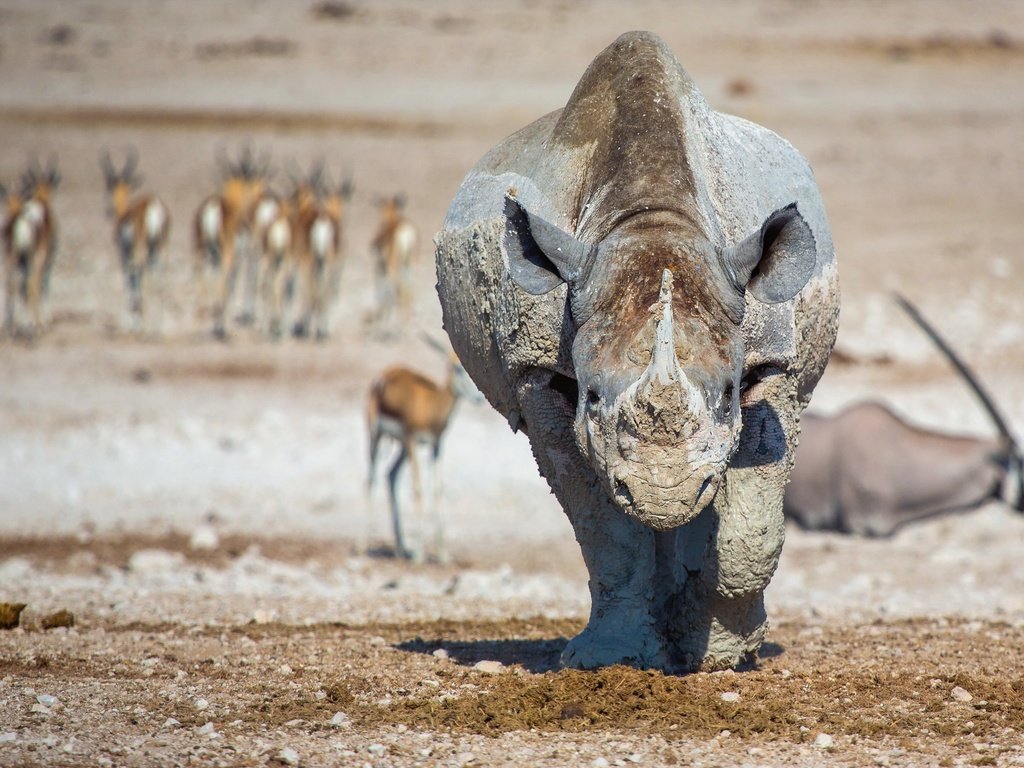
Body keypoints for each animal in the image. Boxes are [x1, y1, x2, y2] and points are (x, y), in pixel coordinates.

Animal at [1, 157, 58, 337]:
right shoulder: (47, 257)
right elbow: (44, 283)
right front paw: (45, 321)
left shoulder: (22, 260)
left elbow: (22, 286)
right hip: (35, 257)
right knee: (33, 283)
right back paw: (36, 326)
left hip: (12, 257)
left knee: (11, 284)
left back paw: (9, 327)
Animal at [99, 150, 169, 335]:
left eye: (109, 186)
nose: (107, 211)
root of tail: (153, 205)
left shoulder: (123, 252)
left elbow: (128, 279)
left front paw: (129, 323)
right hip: (159, 248)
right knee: (158, 278)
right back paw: (159, 326)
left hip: (141, 250)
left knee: (140, 273)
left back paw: (144, 326)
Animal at [364, 339, 479, 561]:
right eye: (457, 368)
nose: (479, 397)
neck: (432, 406)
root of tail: (383, 376)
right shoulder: (412, 441)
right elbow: (417, 489)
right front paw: (418, 554)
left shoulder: (437, 446)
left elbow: (437, 490)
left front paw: (443, 555)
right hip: (376, 436)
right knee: (370, 477)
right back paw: (362, 546)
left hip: (400, 447)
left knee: (390, 474)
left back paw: (401, 549)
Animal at [370, 193, 417, 331]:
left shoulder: (378, 267)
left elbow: (380, 288)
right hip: (410, 262)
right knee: (409, 282)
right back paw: (407, 317)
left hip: (394, 266)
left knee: (396, 284)